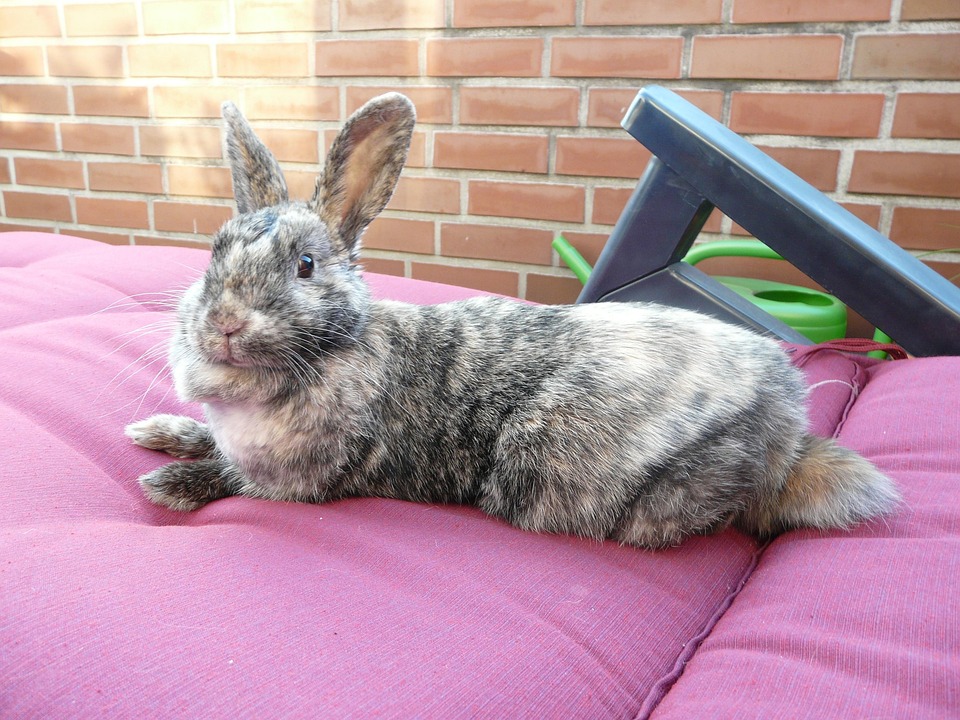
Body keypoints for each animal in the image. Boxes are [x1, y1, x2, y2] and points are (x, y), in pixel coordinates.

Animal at [125, 92, 899, 549]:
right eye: (214, 252)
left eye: (306, 266)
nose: (224, 323)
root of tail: (786, 437)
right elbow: (207, 437)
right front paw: (154, 433)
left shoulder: (301, 480)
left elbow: (234, 477)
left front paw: (167, 487)